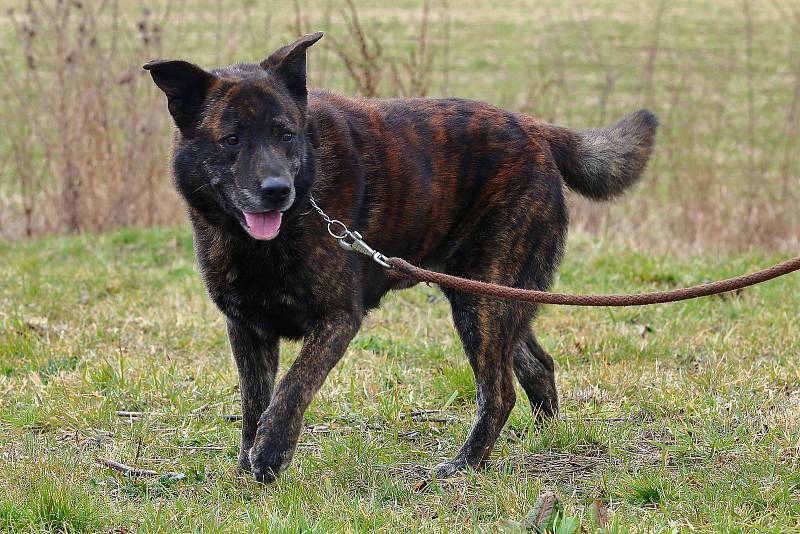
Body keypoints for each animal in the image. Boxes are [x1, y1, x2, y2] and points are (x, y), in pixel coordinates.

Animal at [142, 33, 656, 486]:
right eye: (230, 139)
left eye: (286, 135)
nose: (277, 190)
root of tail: (536, 129)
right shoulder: (246, 328)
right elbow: (254, 404)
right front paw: (247, 464)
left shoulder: (337, 319)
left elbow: (292, 388)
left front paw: (270, 452)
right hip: (488, 295)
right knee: (537, 364)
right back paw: (547, 441)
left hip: (481, 303)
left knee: (500, 391)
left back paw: (466, 465)